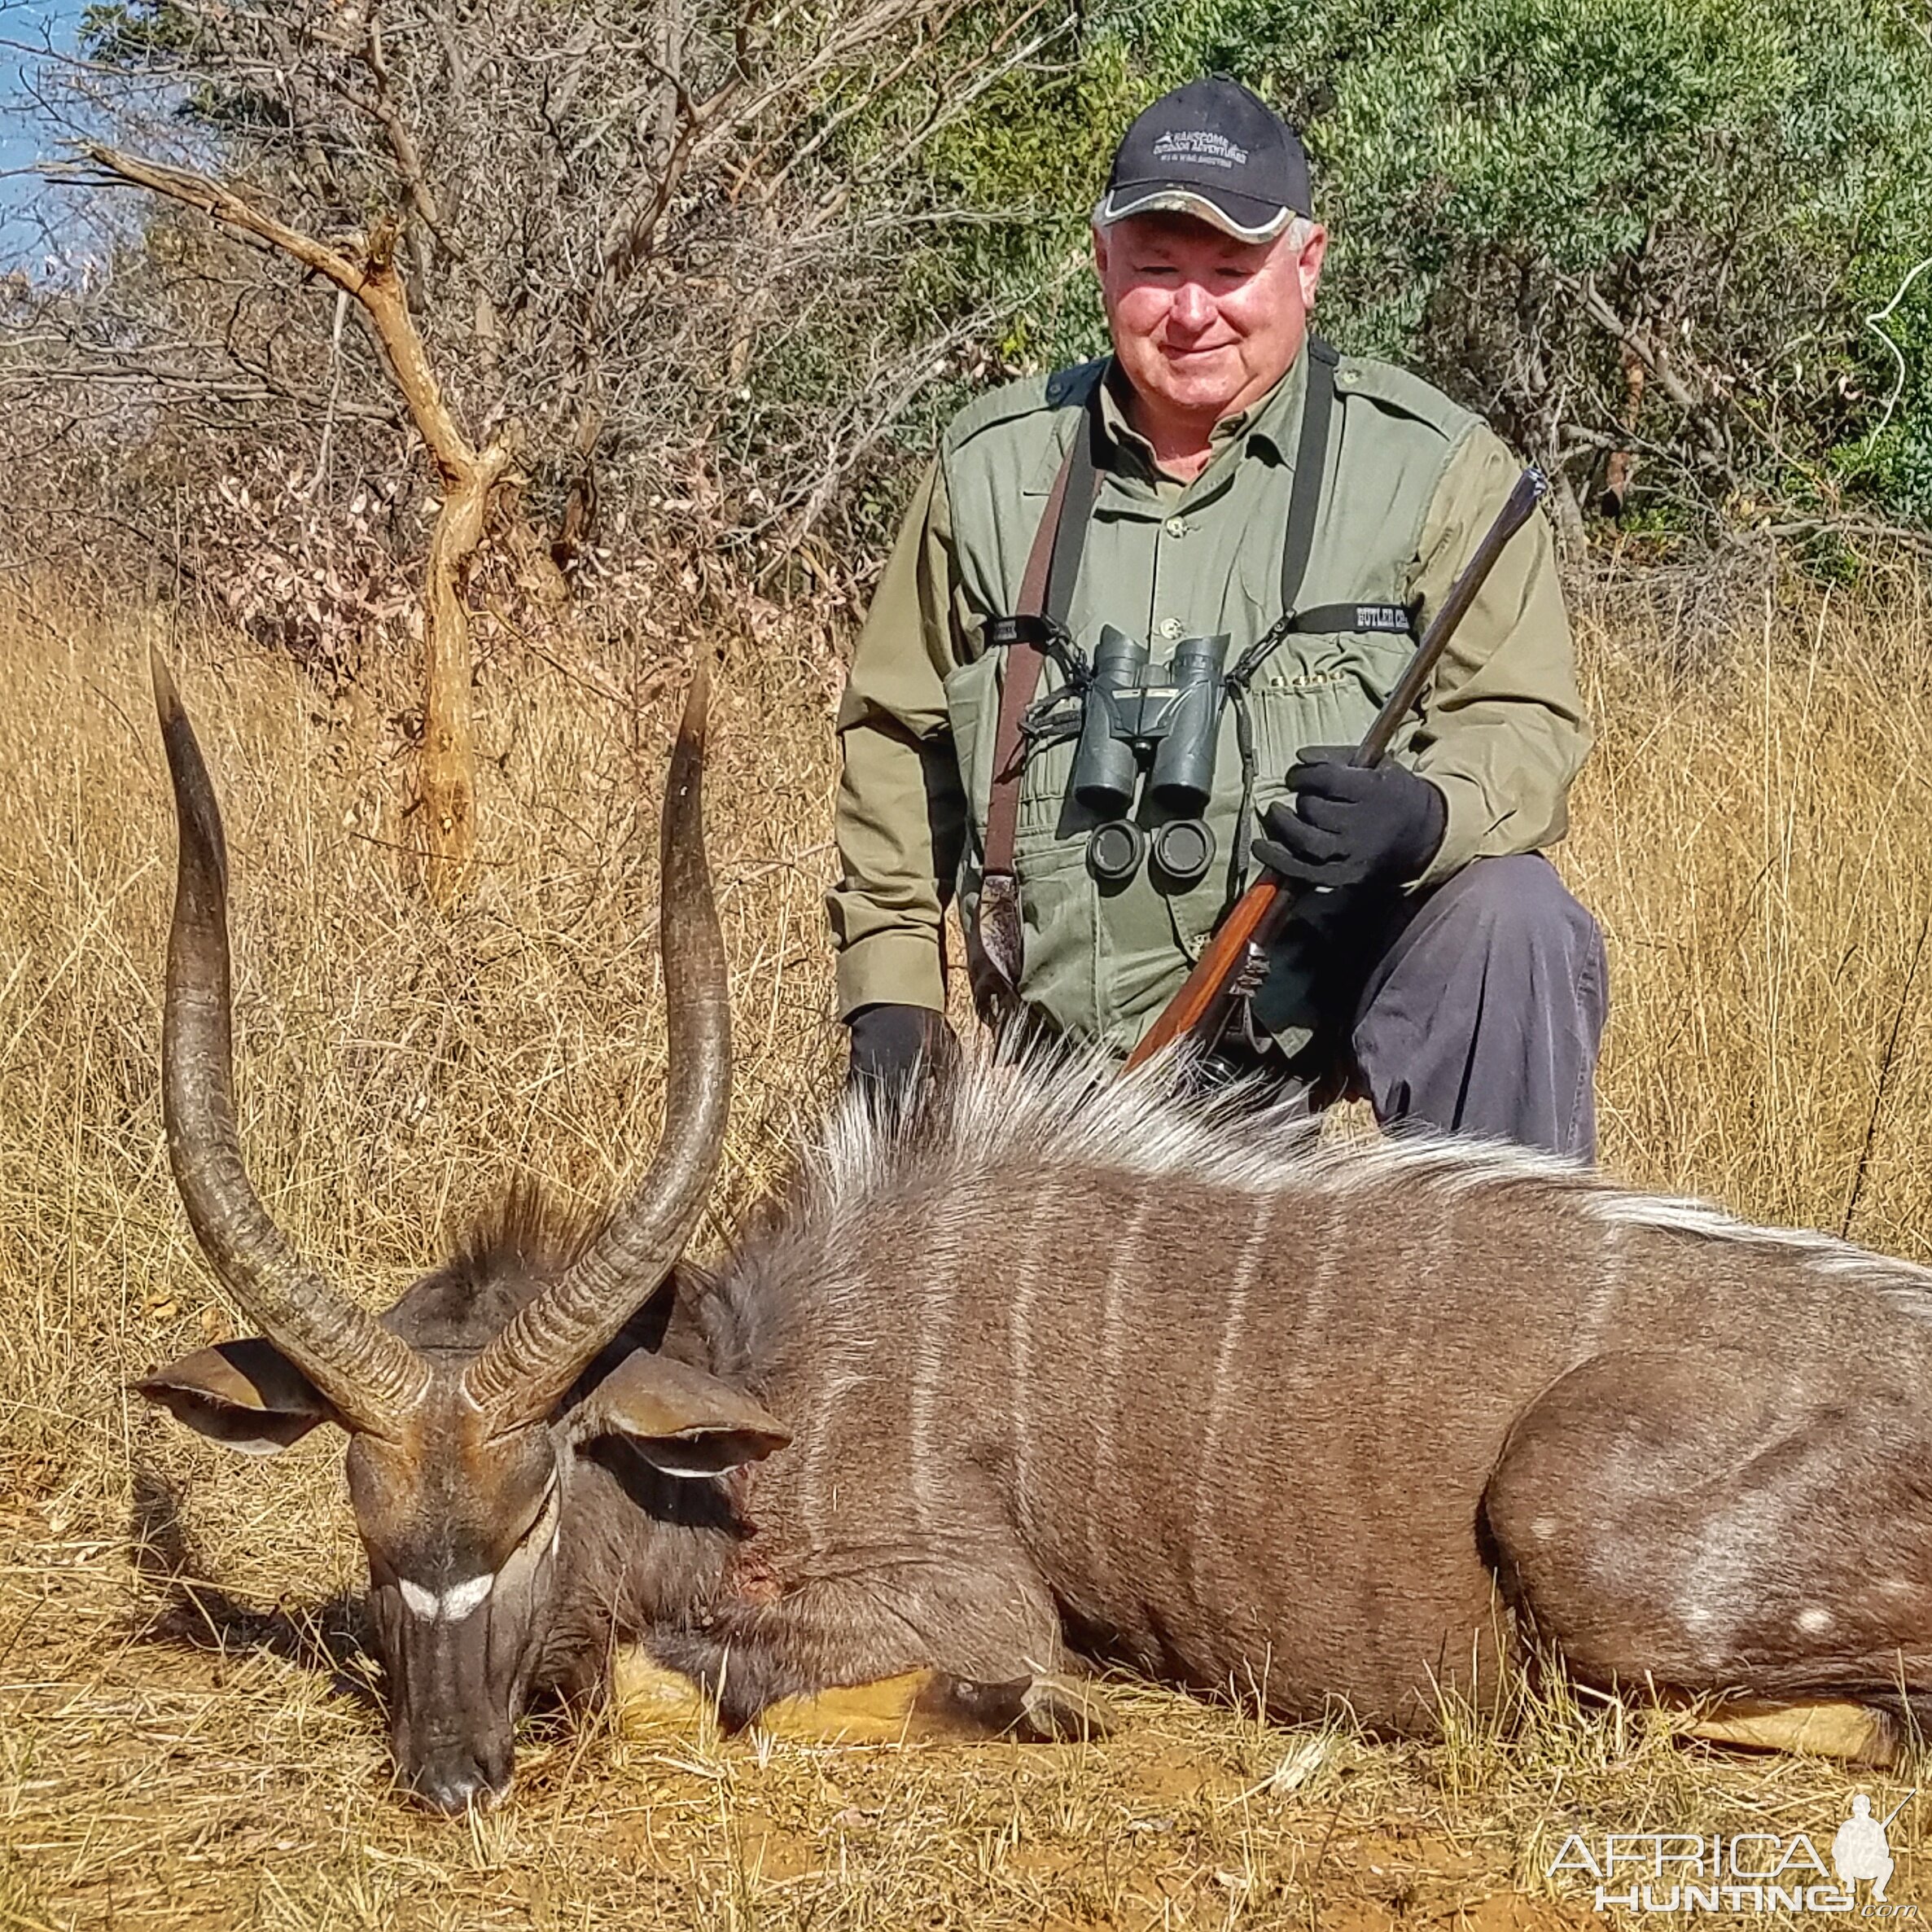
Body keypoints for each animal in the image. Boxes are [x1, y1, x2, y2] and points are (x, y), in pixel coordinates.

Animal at [147, 653, 1932, 1808]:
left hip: (1589, 1533)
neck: (767, 1383)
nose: (446, 1775)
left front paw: (1030, 1706)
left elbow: (700, 1685)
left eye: (530, 1509)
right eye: (369, 1524)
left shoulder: (961, 1593)